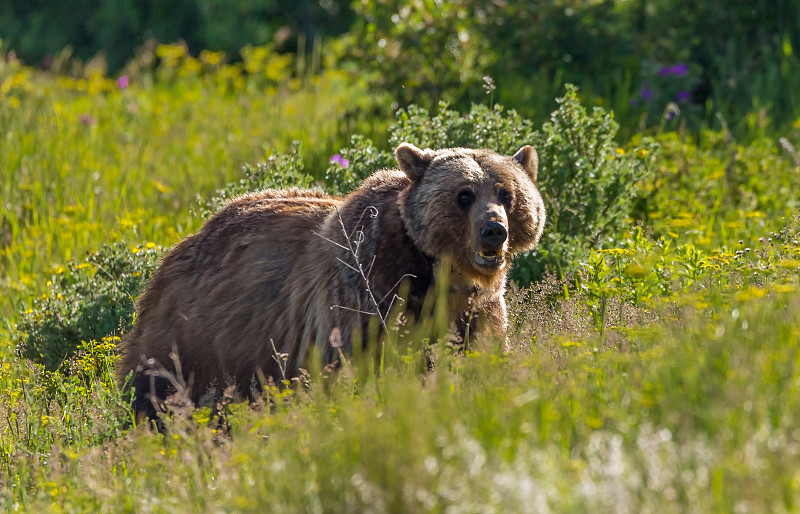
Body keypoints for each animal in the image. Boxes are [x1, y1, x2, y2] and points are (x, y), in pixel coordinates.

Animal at [117, 142, 544, 418]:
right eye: (464, 193)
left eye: (507, 193)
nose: (494, 231)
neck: (437, 272)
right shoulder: (369, 293)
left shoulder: (476, 310)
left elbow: (481, 354)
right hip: (193, 335)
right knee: (159, 388)